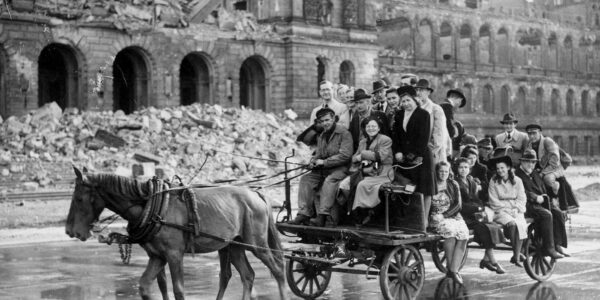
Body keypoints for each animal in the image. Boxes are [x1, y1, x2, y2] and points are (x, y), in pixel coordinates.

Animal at [65, 168, 288, 300]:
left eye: (78, 199)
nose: (69, 231)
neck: (149, 205)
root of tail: (255, 193)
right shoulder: (157, 256)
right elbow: (146, 286)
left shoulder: (174, 255)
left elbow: (178, 290)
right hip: (233, 245)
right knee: (247, 275)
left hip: (256, 244)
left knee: (278, 270)